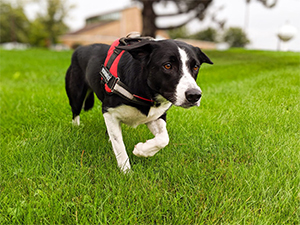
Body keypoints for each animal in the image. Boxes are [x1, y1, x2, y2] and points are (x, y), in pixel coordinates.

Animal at [65, 35, 213, 172]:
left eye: (195, 67)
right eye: (168, 65)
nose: (194, 95)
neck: (146, 91)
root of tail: (80, 48)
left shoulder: (156, 115)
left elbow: (163, 139)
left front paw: (142, 150)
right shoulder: (109, 111)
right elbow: (120, 146)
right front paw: (126, 172)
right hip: (76, 93)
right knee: (76, 111)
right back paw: (76, 127)